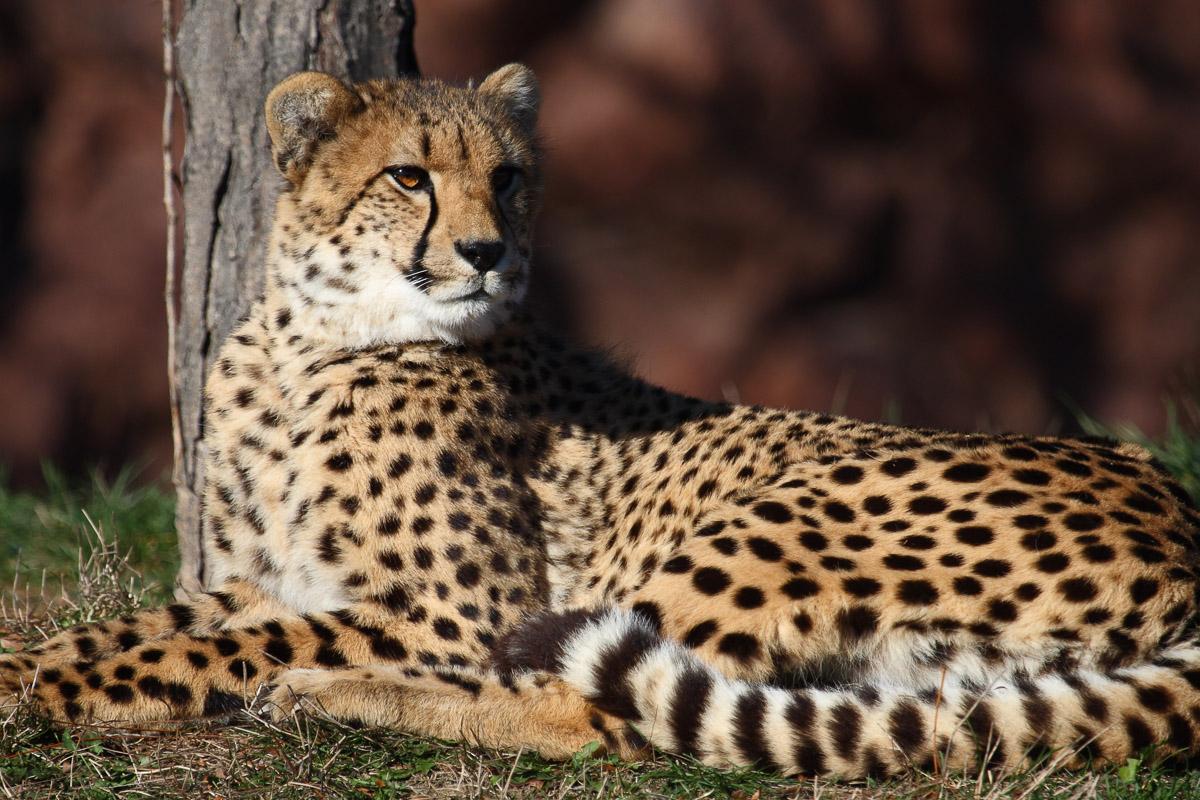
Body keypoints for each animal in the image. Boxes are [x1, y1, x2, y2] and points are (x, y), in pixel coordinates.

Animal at [4, 63, 1200, 780]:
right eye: (409, 176)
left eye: (508, 177)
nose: (488, 251)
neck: (316, 339)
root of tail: (1172, 498)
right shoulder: (253, 574)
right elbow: (141, 626)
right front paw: (33, 663)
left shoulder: (455, 611)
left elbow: (218, 644)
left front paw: (58, 691)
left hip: (783, 519)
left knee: (593, 713)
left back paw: (325, 694)